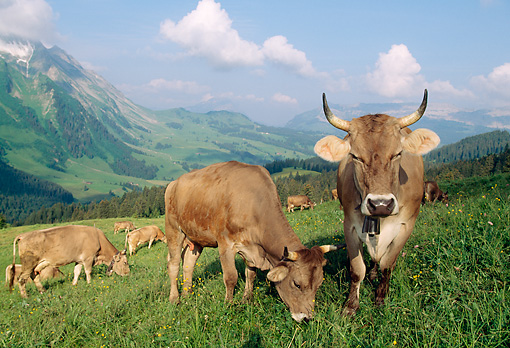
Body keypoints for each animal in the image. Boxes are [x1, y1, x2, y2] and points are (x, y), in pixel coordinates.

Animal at [164, 162, 338, 322]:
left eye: (319, 285)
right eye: (297, 284)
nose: (307, 318)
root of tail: (174, 183)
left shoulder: (251, 248)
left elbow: (251, 274)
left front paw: (246, 299)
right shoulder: (225, 244)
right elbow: (231, 277)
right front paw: (229, 304)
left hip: (196, 238)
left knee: (188, 263)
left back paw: (187, 294)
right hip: (173, 229)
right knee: (173, 264)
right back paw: (174, 298)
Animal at [314, 89, 438, 316]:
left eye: (398, 153)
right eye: (355, 156)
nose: (380, 204)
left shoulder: (407, 225)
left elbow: (388, 264)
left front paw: (380, 296)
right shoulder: (350, 225)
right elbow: (356, 269)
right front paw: (351, 305)